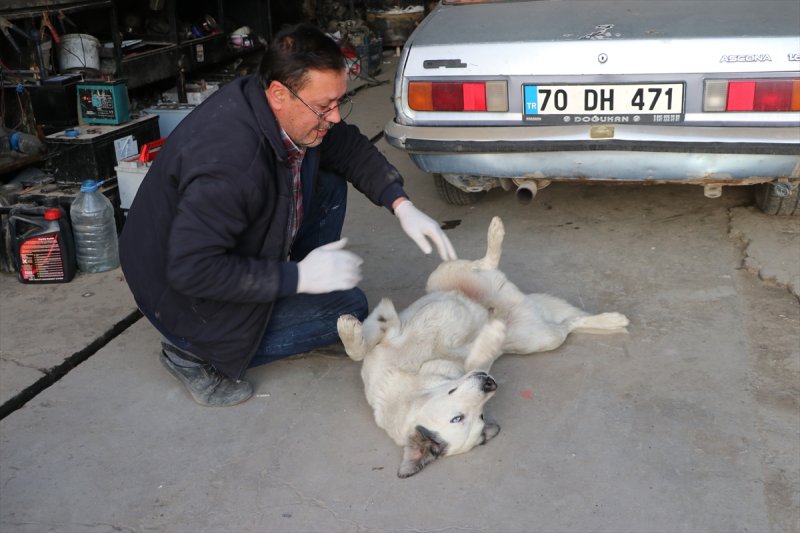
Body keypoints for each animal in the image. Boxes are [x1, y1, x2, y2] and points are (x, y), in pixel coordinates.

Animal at [334, 216, 628, 478]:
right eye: (460, 418)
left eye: (479, 415)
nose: (490, 383)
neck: (417, 379)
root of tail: (511, 301)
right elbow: (361, 347)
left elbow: (367, 341)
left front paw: (354, 326)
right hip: (536, 336)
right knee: (568, 323)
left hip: (445, 280)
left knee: (487, 265)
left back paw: (495, 234)